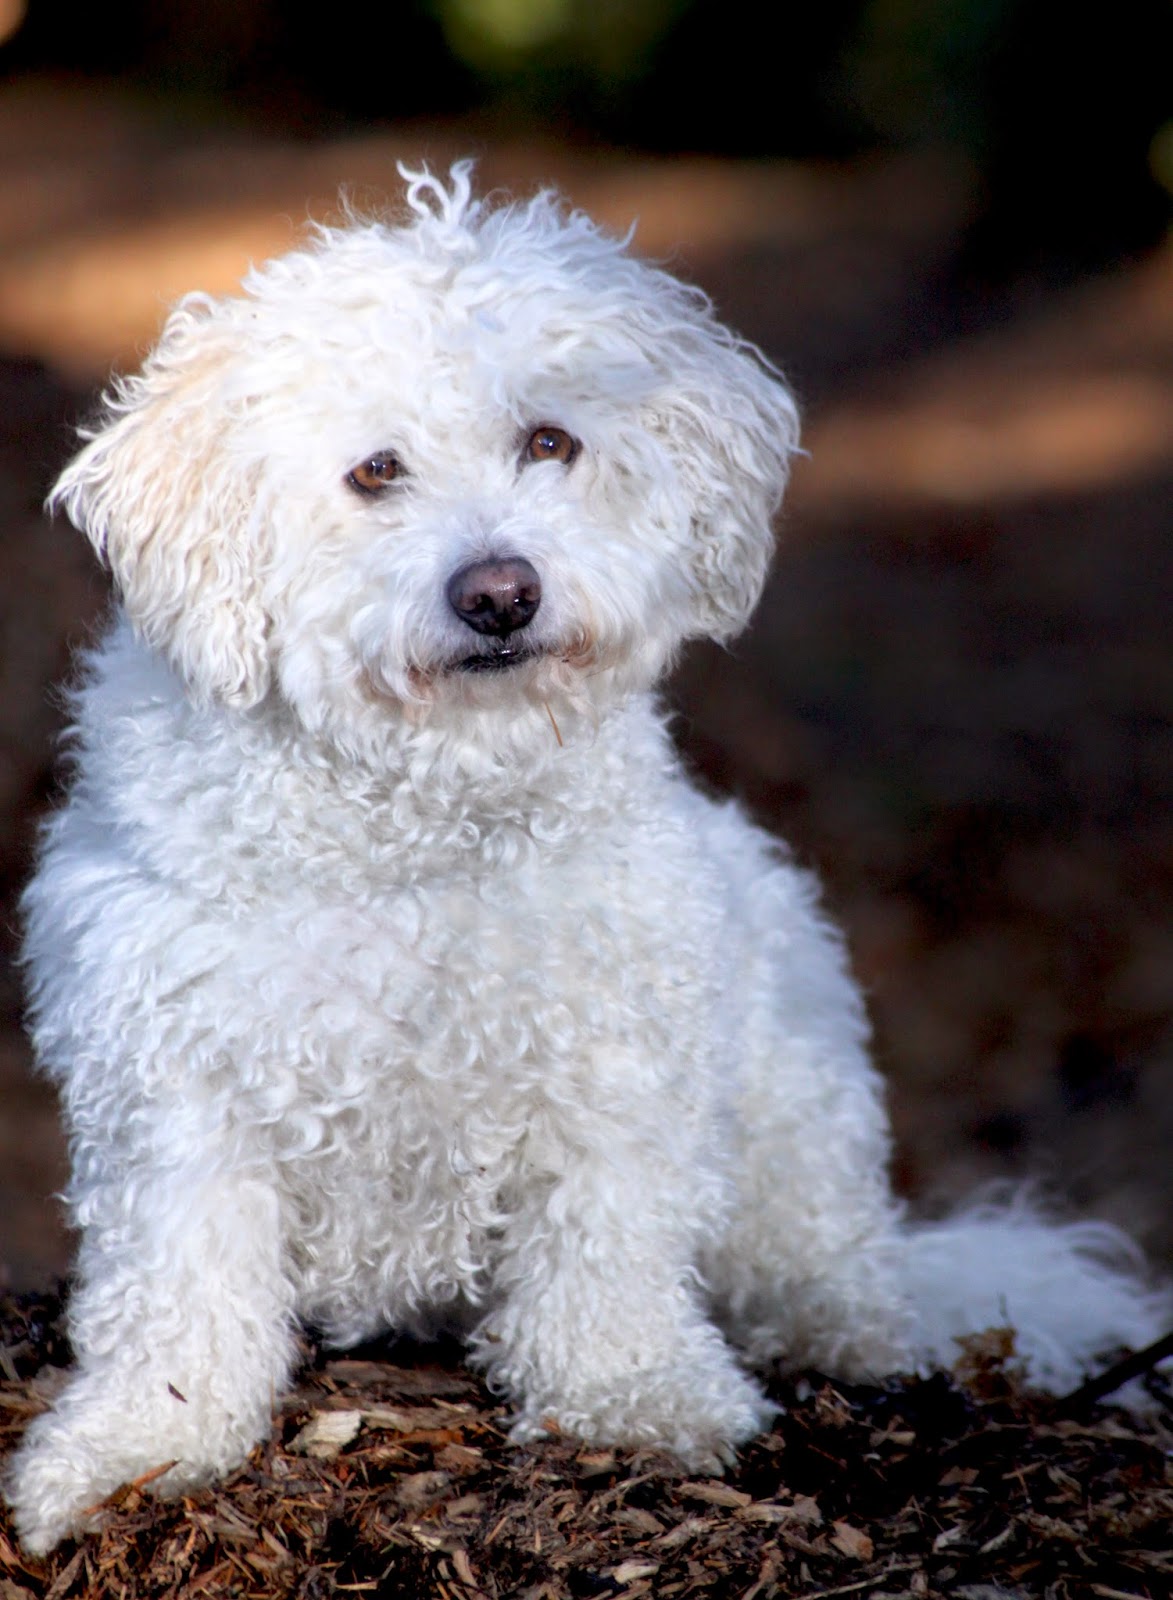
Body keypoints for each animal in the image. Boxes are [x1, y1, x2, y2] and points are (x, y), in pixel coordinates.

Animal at [7, 164, 1168, 1554]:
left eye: (550, 442)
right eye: (374, 471)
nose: (499, 592)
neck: (423, 816)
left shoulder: (610, 1064)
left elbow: (606, 1244)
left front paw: (634, 1398)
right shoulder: (176, 1091)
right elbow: (174, 1291)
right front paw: (140, 1442)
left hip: (795, 1108)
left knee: (837, 1267)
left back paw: (853, 1331)